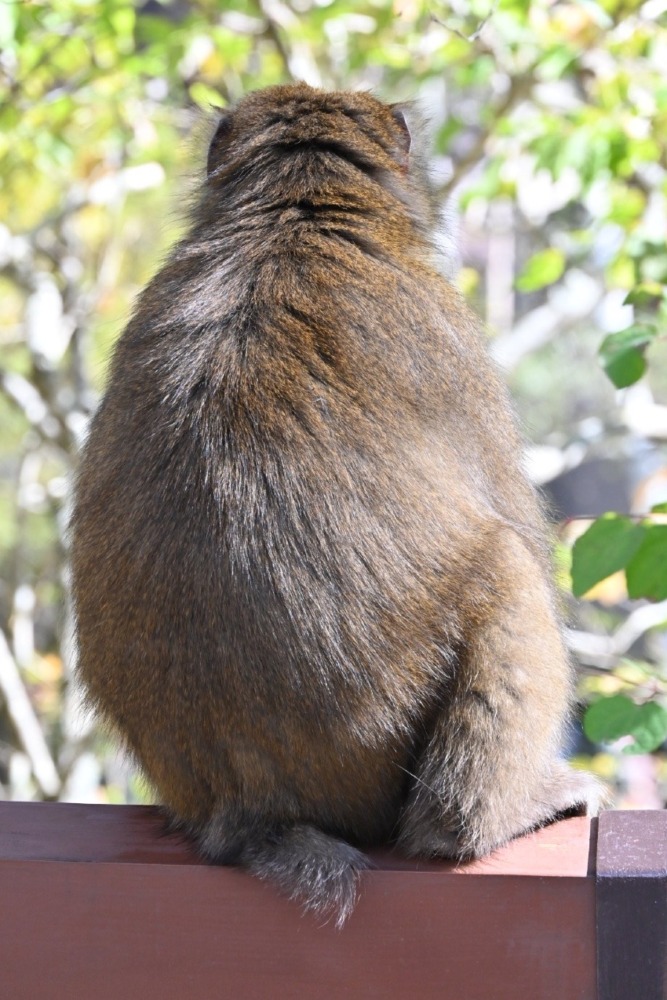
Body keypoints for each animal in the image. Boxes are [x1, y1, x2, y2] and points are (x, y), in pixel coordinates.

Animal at [70, 82, 604, 924]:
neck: (292, 212)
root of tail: (248, 811)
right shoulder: (450, 338)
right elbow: (519, 531)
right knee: (508, 572)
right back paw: (483, 821)